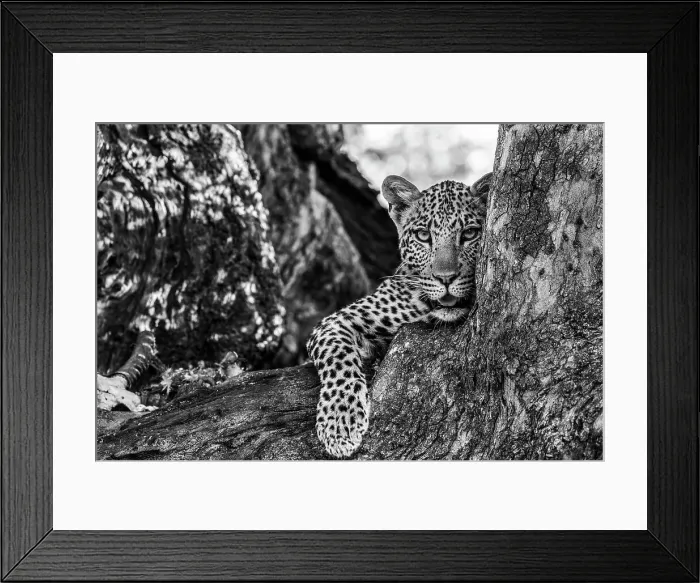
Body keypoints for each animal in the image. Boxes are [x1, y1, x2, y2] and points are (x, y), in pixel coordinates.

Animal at [306, 172, 492, 458]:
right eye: (423, 236)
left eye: (470, 233)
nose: (445, 278)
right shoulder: (336, 321)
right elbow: (337, 357)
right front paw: (339, 422)